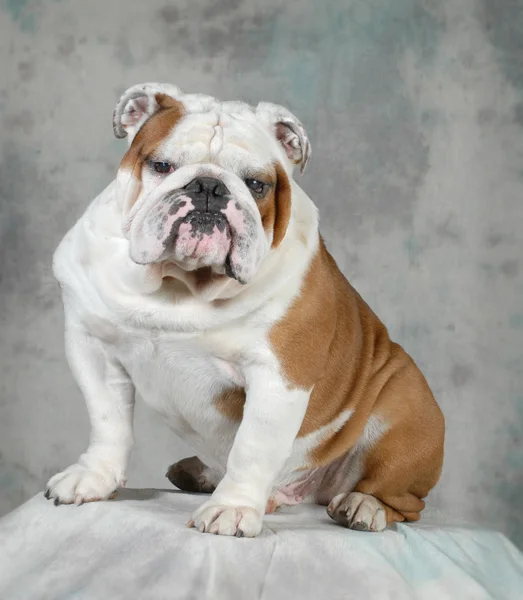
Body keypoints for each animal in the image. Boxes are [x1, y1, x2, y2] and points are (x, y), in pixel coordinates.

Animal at [46, 82, 446, 536]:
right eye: (162, 165)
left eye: (256, 184)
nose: (208, 186)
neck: (181, 283)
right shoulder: (91, 345)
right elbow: (107, 421)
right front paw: (93, 476)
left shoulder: (279, 377)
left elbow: (252, 447)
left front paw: (232, 508)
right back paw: (202, 473)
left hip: (405, 408)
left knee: (402, 499)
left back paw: (363, 505)